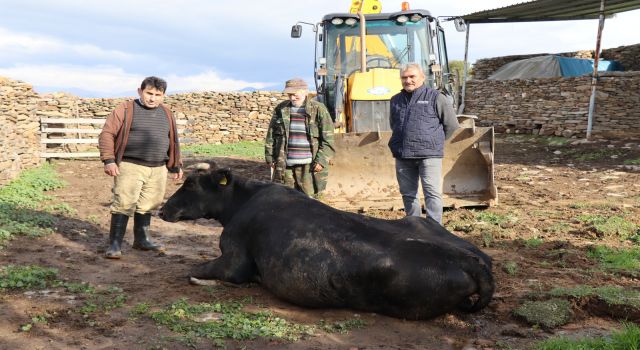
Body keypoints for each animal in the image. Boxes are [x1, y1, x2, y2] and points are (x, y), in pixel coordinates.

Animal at [160, 168, 496, 322]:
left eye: (189, 184)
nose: (162, 210)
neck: (241, 202)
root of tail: (469, 261)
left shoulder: (233, 261)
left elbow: (194, 269)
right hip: (422, 223)